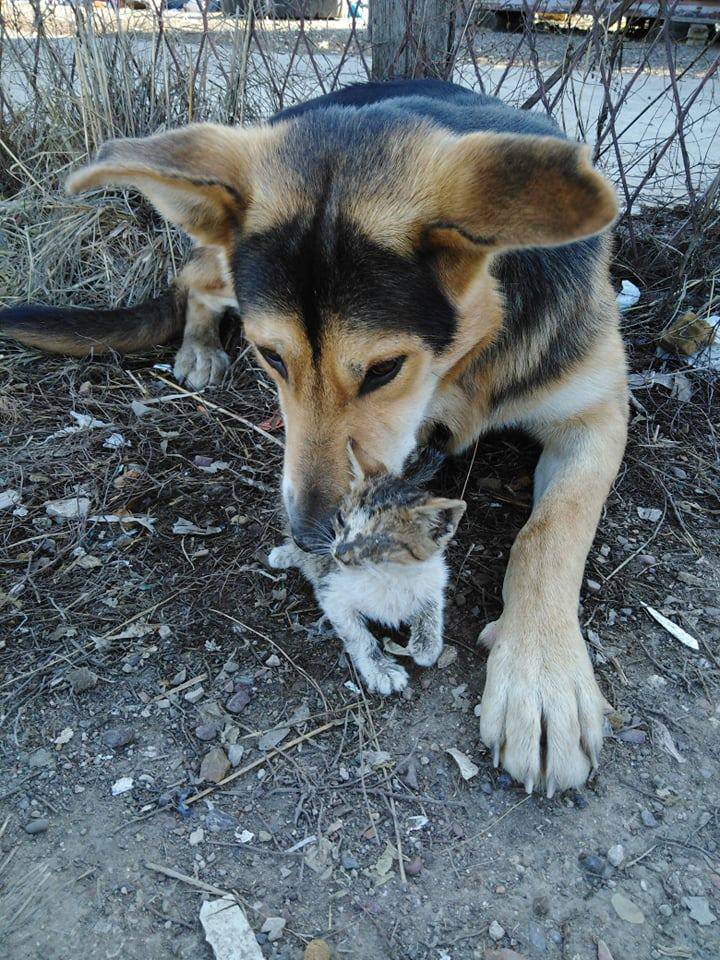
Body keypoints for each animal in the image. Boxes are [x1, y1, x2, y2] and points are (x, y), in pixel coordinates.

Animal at [268, 454, 464, 692]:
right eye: (341, 519)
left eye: (378, 540)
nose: (339, 553)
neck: (388, 575)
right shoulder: (331, 591)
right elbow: (357, 635)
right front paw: (380, 670)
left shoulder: (433, 576)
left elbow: (432, 606)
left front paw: (427, 645)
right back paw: (284, 555)